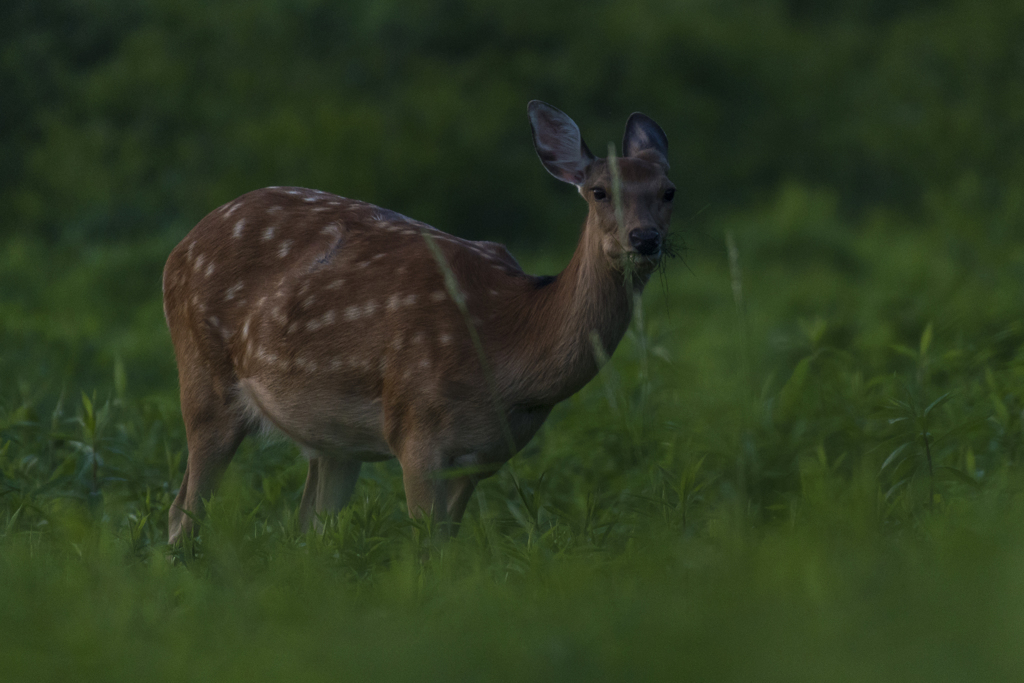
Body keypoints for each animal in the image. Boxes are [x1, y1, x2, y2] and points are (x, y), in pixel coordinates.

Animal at [161, 100, 671, 544]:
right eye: (600, 191)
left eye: (670, 191)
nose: (645, 238)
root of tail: (179, 249)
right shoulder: (416, 426)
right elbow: (429, 545)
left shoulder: (483, 457)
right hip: (203, 378)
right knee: (184, 508)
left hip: (333, 442)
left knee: (307, 526)